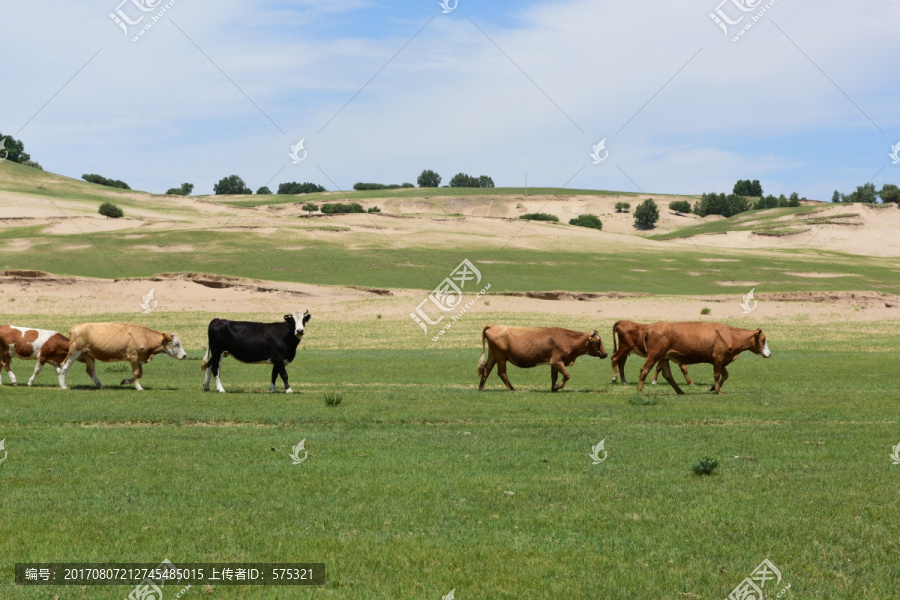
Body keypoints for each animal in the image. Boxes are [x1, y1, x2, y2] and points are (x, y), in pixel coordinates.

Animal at [58, 322, 188, 392]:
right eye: (176, 344)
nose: (185, 355)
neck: (144, 336)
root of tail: (75, 328)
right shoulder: (133, 356)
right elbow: (136, 373)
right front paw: (139, 387)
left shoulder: (139, 359)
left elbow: (139, 374)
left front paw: (125, 381)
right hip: (74, 352)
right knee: (64, 367)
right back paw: (63, 386)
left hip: (89, 356)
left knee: (91, 371)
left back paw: (101, 386)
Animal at [474, 326, 608, 392]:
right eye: (598, 341)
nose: (606, 354)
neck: (566, 339)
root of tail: (493, 327)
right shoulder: (557, 361)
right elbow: (567, 375)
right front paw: (557, 387)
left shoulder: (554, 363)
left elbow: (554, 376)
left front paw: (553, 388)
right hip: (501, 357)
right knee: (501, 373)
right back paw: (511, 389)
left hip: (493, 355)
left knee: (486, 370)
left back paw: (481, 388)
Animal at [636, 322, 768, 396]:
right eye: (763, 340)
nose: (769, 354)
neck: (730, 335)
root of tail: (651, 327)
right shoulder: (718, 358)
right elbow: (717, 375)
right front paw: (718, 390)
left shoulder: (721, 361)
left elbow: (725, 375)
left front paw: (713, 388)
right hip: (654, 355)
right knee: (644, 370)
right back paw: (639, 391)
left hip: (664, 357)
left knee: (667, 375)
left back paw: (680, 391)